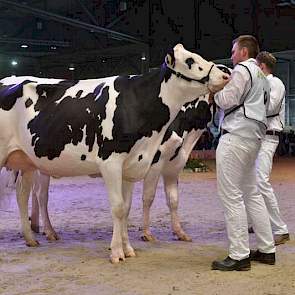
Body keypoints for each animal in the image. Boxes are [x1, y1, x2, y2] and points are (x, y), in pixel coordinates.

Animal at [0, 44, 229, 264]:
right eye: (190, 60)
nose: (225, 75)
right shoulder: (112, 162)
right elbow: (120, 207)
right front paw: (118, 251)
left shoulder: (135, 164)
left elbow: (128, 208)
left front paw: (128, 249)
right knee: (37, 196)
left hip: (27, 163)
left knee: (23, 195)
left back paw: (31, 238)